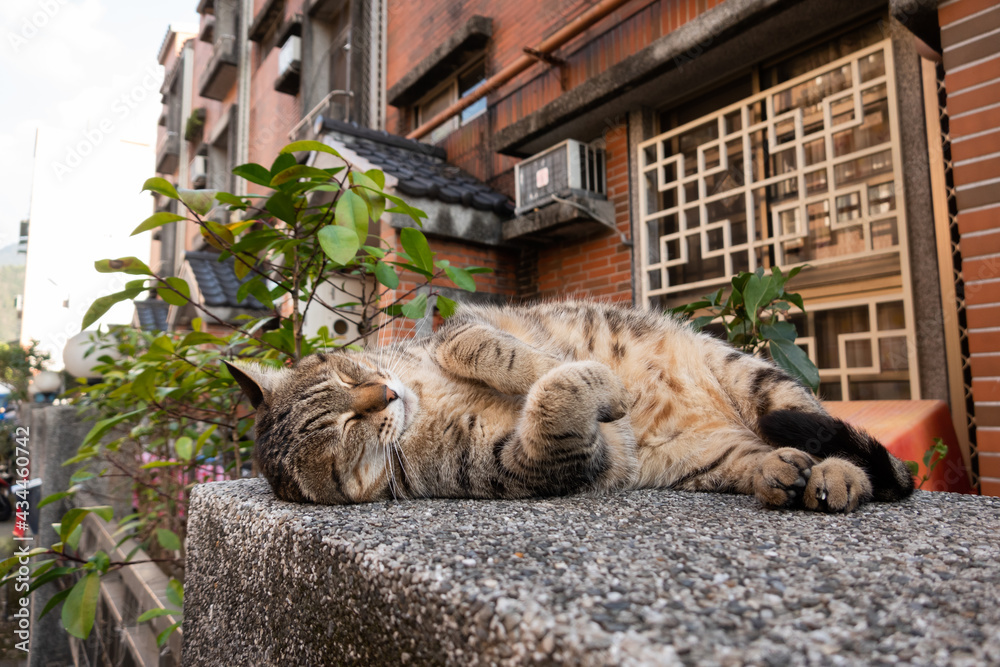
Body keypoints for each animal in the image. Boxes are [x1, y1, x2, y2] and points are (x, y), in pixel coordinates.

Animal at [227, 300, 916, 516]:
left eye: (350, 374)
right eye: (349, 431)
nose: (387, 395)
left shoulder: (462, 323)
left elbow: (488, 348)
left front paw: (559, 367)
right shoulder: (540, 461)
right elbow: (558, 400)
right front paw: (593, 385)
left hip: (758, 380)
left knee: (860, 456)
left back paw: (837, 474)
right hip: (712, 458)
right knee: (769, 458)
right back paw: (788, 474)